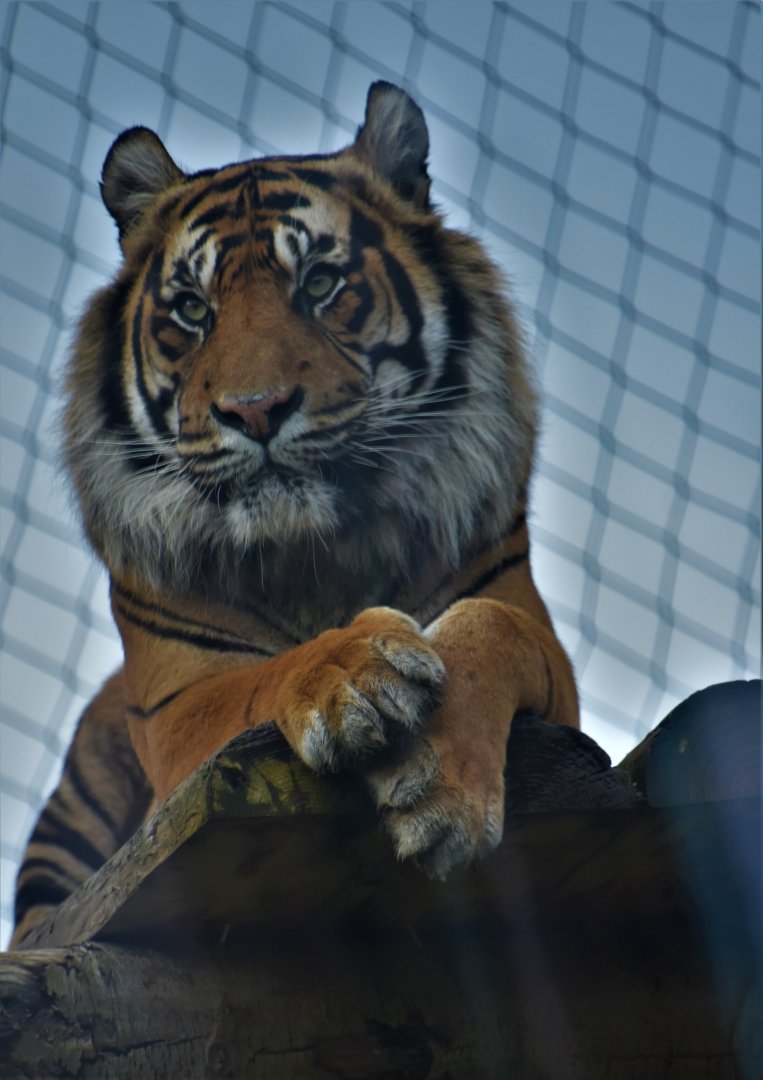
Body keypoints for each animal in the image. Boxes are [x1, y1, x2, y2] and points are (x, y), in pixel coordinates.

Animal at [12, 81, 578, 948]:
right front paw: (347, 671)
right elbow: (260, 678)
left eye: (317, 284)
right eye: (190, 309)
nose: (255, 409)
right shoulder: (180, 708)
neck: (313, 550)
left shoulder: (536, 642)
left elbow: (492, 626)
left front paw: (437, 787)